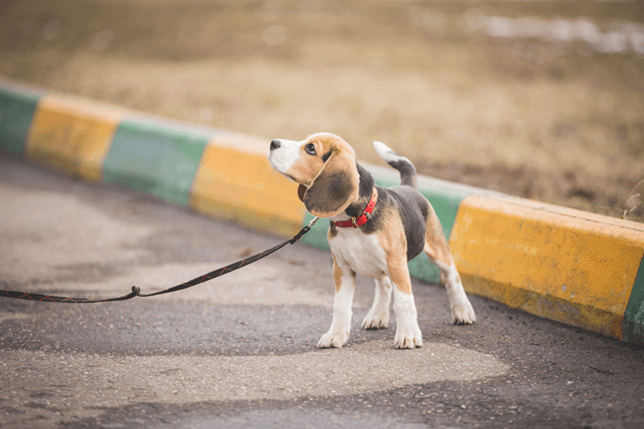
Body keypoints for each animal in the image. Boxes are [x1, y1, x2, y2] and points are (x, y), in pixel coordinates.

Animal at [266, 133, 472, 348]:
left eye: (311, 149)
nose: (272, 143)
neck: (353, 220)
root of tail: (408, 186)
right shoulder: (342, 269)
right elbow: (341, 305)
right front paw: (336, 335)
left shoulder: (396, 264)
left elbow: (403, 302)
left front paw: (407, 334)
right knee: (384, 285)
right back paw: (377, 316)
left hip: (436, 250)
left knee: (452, 276)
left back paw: (463, 311)